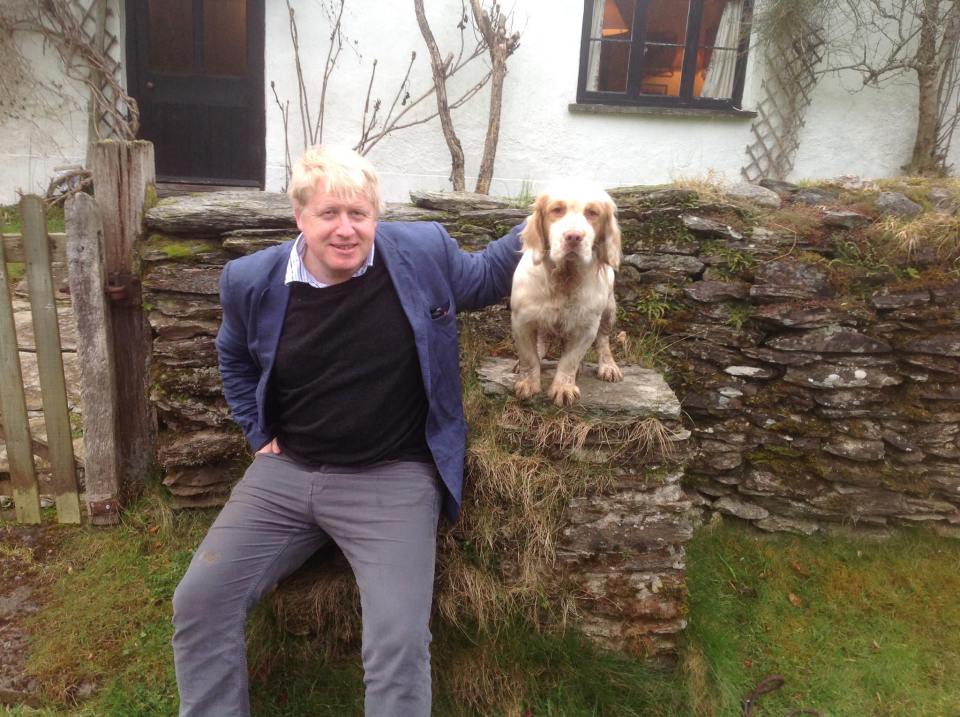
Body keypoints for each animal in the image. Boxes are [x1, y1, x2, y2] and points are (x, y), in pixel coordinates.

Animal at [510, 182, 624, 406]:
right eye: (557, 210)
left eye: (592, 213)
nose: (574, 237)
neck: (565, 278)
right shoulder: (521, 321)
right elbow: (529, 356)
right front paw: (528, 383)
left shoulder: (586, 328)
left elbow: (569, 361)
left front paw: (563, 388)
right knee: (541, 339)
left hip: (609, 310)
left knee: (603, 341)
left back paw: (608, 366)